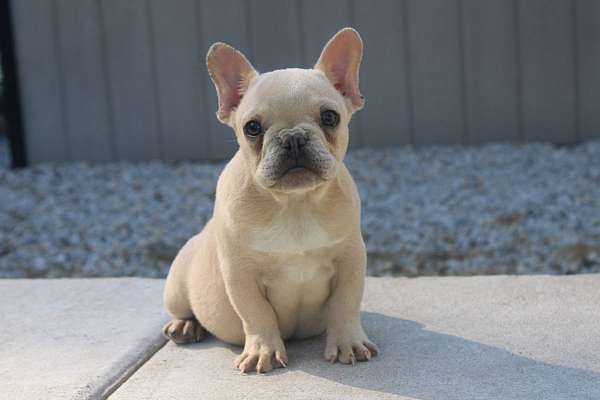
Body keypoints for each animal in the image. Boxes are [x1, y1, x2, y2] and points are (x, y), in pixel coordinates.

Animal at [163, 27, 380, 372]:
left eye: (330, 117)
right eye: (252, 127)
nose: (293, 138)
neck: (295, 204)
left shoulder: (351, 259)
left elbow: (346, 303)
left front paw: (349, 342)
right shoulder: (240, 273)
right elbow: (256, 312)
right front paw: (262, 351)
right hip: (176, 285)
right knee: (182, 307)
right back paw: (185, 325)